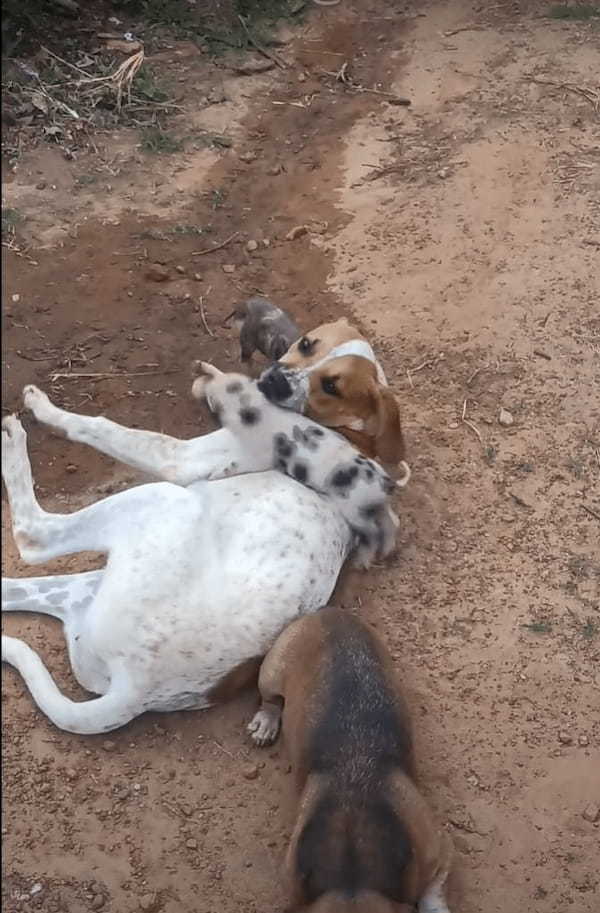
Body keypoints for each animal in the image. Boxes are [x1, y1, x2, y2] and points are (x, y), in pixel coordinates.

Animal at [195, 362, 410, 564]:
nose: (208, 389)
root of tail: (386, 482)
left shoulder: (262, 455)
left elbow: (238, 464)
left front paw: (213, 476)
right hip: (370, 507)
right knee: (391, 522)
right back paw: (384, 552)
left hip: (354, 508)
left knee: (375, 530)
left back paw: (363, 559)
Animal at [247, 604, 450, 912]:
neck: (352, 867)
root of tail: (327, 611)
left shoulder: (439, 854)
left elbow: (431, 893)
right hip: (271, 672)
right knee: (270, 699)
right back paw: (266, 722)